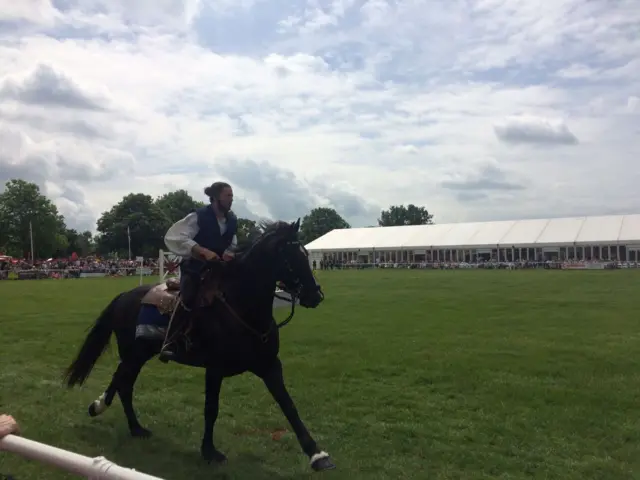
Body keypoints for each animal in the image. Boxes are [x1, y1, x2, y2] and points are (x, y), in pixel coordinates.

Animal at [62, 220, 338, 472]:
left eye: (306, 255)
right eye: (290, 257)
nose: (315, 295)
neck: (242, 307)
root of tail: (125, 296)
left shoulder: (269, 366)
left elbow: (288, 405)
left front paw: (317, 454)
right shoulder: (214, 369)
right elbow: (211, 409)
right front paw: (209, 451)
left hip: (139, 354)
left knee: (122, 381)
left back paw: (121, 419)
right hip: (134, 354)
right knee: (123, 383)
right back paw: (119, 418)